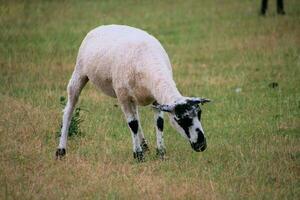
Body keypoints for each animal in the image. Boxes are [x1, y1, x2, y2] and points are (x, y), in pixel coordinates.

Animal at [56, 24, 211, 161]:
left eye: (200, 114)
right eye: (180, 120)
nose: (201, 145)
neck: (149, 63)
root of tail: (101, 26)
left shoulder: (156, 99)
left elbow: (159, 123)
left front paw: (161, 153)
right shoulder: (123, 96)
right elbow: (133, 124)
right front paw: (138, 156)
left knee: (136, 114)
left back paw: (145, 145)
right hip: (79, 72)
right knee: (69, 109)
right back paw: (61, 151)